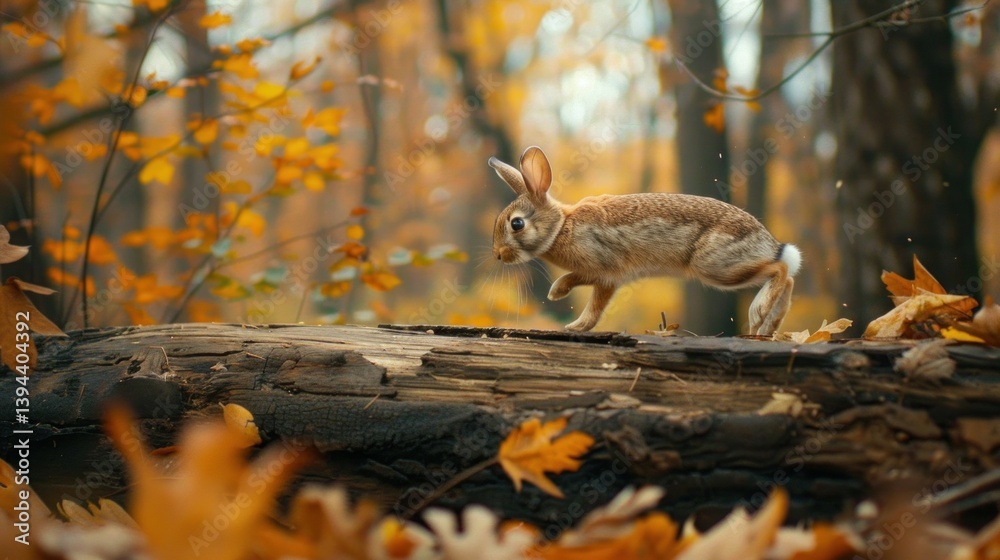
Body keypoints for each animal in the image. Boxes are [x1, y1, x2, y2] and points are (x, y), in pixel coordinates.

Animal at [488, 146, 801, 335]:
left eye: (516, 224)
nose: (498, 255)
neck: (562, 226)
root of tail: (770, 243)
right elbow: (577, 281)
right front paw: (558, 294)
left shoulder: (606, 272)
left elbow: (594, 302)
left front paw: (573, 323)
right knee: (788, 277)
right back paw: (768, 326)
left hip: (717, 265)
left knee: (780, 270)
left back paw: (758, 314)